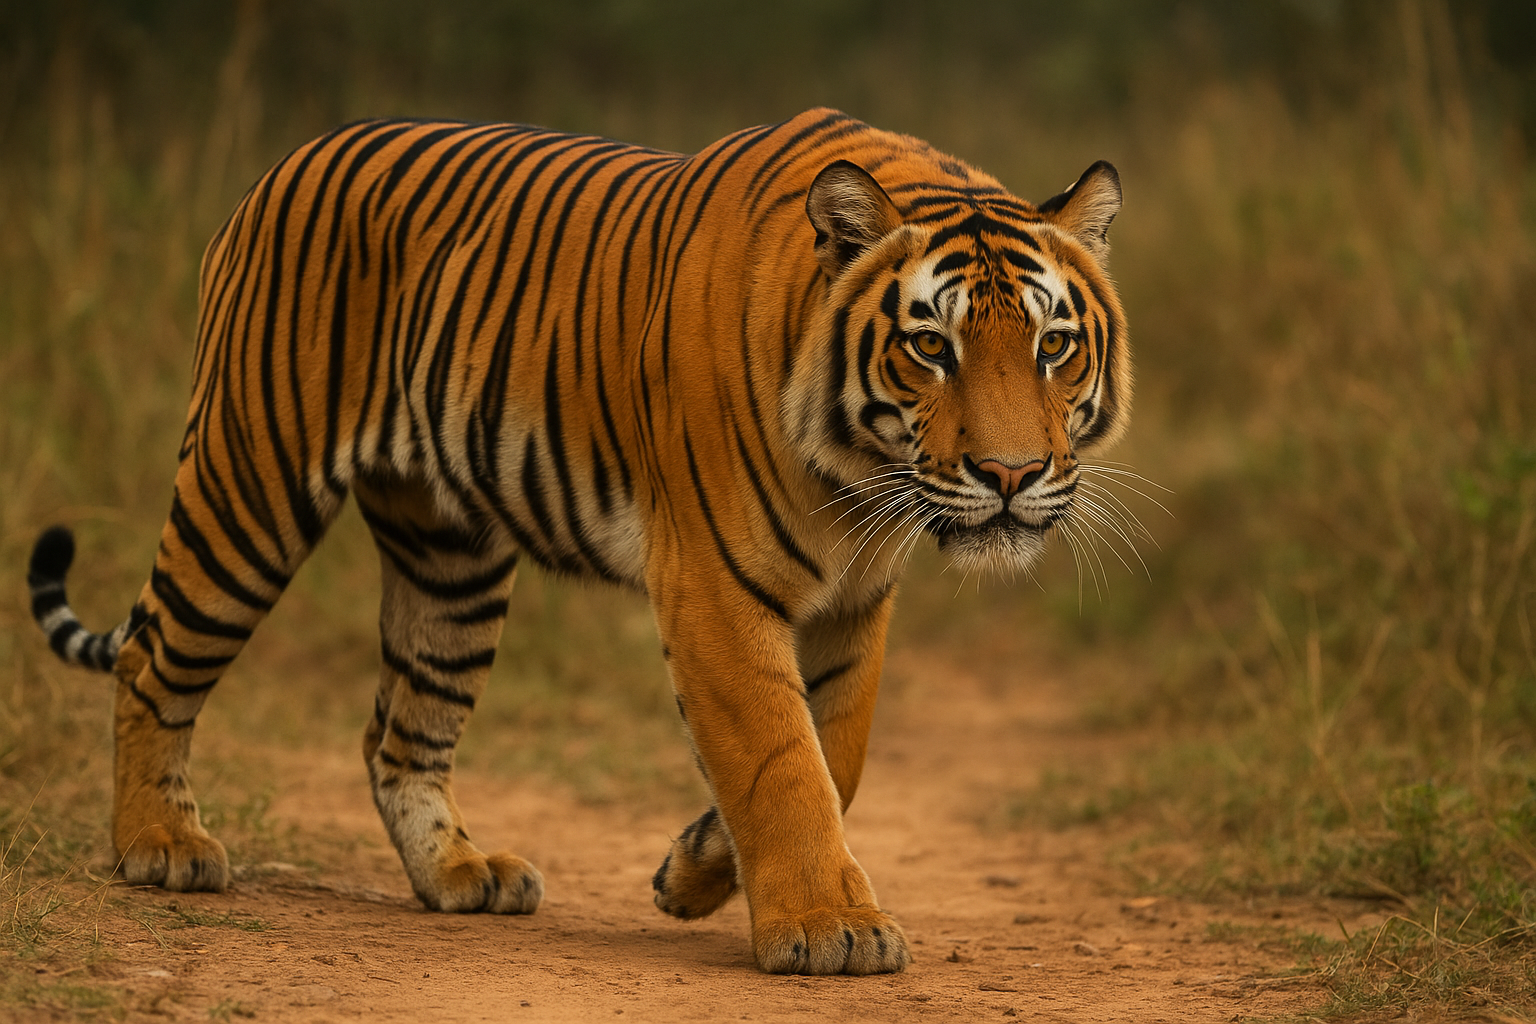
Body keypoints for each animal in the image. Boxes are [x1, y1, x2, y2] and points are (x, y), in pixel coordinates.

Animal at [27, 108, 1129, 975]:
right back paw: (160, 846)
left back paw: (460, 872)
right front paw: (828, 927)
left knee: (400, 730)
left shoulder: (857, 598)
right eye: (930, 346)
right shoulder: (714, 587)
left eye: (1054, 346)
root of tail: (286, 161)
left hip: (452, 565)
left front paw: (694, 872)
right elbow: (780, 757)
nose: (1010, 476)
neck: (858, 478)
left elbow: (838, 756)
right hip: (248, 484)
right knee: (150, 659)